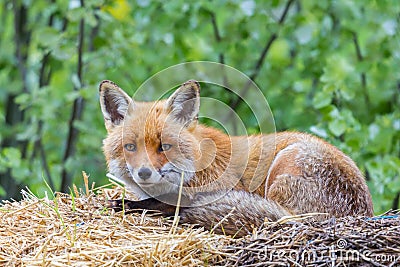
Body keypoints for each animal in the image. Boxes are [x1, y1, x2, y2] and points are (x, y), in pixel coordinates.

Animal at [99, 79, 372, 237]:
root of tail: (361, 213)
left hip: (286, 168)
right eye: (130, 147)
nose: (144, 173)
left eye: (164, 147)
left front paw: (126, 204)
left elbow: (159, 204)